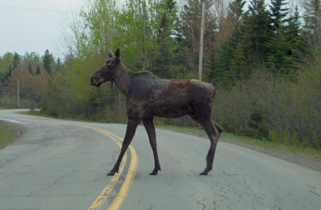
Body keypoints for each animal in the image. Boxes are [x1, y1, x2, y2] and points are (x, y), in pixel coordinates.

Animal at [89, 48, 221, 175]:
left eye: (110, 65)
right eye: (104, 63)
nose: (93, 79)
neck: (127, 87)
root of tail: (213, 89)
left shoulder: (134, 116)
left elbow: (125, 143)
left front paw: (113, 169)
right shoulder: (147, 117)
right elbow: (153, 142)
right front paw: (156, 168)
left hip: (202, 114)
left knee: (213, 134)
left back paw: (206, 168)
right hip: (197, 115)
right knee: (219, 129)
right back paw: (209, 165)